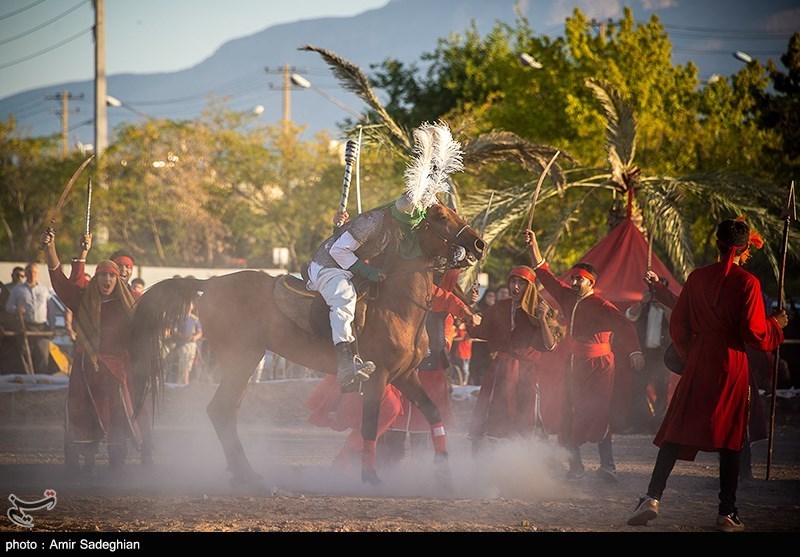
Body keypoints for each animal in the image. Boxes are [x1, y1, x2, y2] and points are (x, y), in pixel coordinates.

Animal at [128, 203, 484, 486]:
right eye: (440, 216)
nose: (478, 243)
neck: (398, 304)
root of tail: (210, 283)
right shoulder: (379, 376)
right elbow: (369, 426)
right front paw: (369, 476)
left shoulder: (405, 375)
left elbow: (433, 412)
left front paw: (443, 470)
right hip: (241, 358)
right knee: (220, 409)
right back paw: (247, 474)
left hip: (244, 361)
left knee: (226, 410)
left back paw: (244, 472)